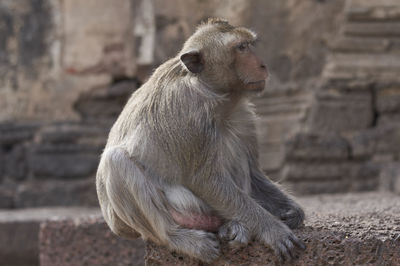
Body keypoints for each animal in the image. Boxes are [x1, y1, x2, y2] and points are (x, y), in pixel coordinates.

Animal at [95, 17, 304, 262]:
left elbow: (254, 174)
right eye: (241, 47)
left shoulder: (243, 115)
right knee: (117, 161)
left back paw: (234, 226)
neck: (212, 92)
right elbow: (205, 180)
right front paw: (273, 229)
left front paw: (293, 212)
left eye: (249, 45)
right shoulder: (191, 113)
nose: (263, 65)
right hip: (182, 210)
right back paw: (178, 238)